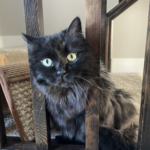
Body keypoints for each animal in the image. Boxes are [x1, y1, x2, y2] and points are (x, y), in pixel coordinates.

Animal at [22, 17, 138, 149]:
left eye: (71, 56)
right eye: (47, 61)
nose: (61, 72)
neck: (67, 96)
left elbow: (86, 136)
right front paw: (65, 139)